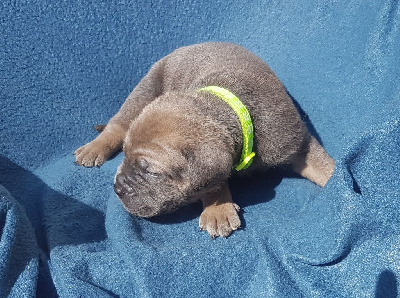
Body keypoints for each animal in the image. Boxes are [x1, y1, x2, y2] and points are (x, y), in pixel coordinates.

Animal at [74, 41, 334, 237]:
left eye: (152, 172)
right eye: (125, 155)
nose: (117, 188)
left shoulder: (293, 141)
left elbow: (321, 164)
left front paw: (337, 178)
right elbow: (214, 182)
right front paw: (218, 209)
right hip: (146, 88)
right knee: (117, 124)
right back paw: (93, 148)